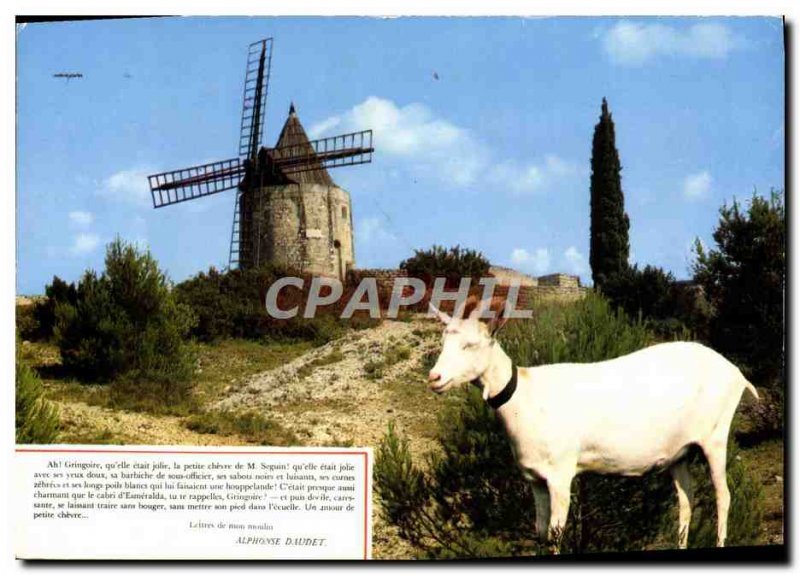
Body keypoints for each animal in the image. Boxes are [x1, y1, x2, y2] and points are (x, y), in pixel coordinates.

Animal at [424, 300, 756, 552]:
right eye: (443, 342)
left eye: (470, 344)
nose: (434, 378)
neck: (526, 396)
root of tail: (737, 374)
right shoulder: (534, 479)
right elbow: (540, 533)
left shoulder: (560, 475)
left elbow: (556, 536)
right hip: (680, 453)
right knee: (686, 500)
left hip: (715, 437)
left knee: (723, 496)